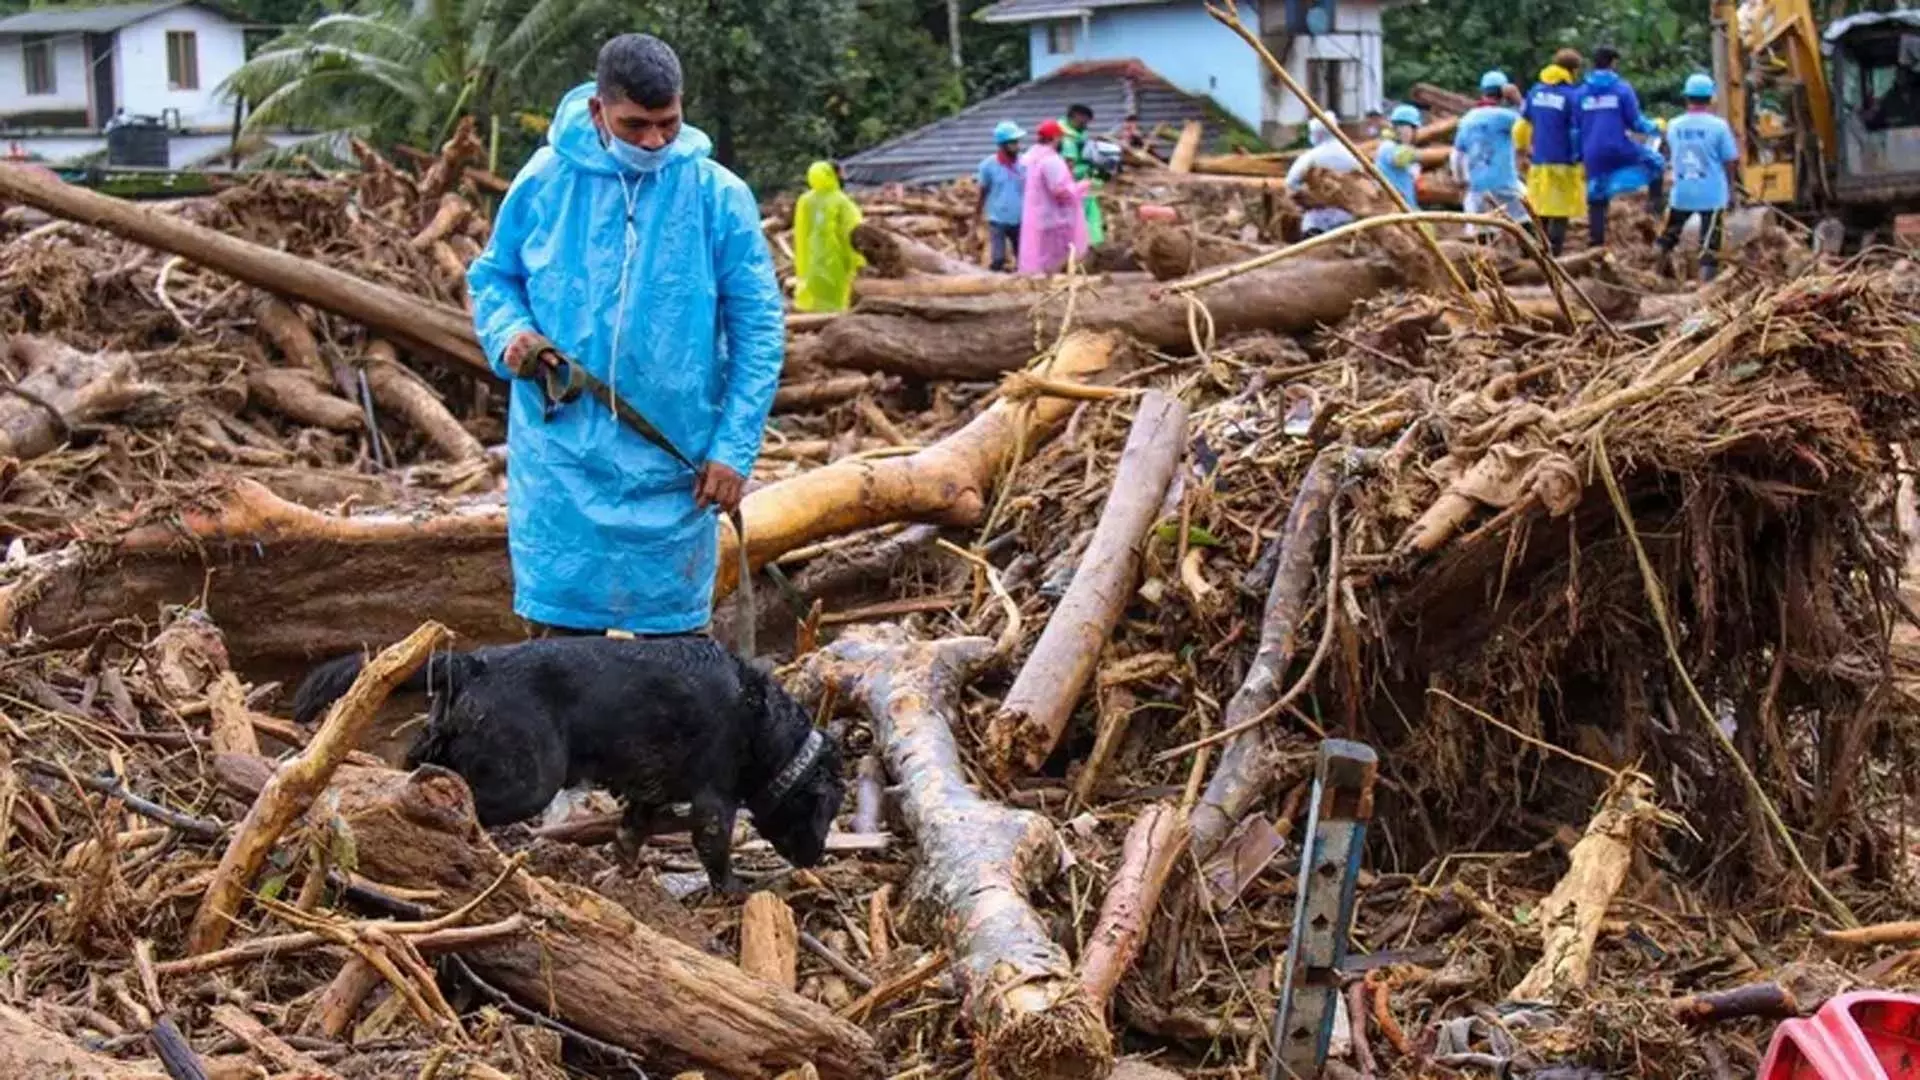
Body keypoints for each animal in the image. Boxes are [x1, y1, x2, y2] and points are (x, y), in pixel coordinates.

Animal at [291, 630, 840, 891]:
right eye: (826, 811)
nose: (816, 857)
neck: (763, 724)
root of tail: (473, 662)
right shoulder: (714, 801)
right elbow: (715, 851)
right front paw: (735, 891)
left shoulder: (648, 792)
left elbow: (630, 834)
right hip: (529, 780)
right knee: (462, 797)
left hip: (449, 738)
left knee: (419, 763)